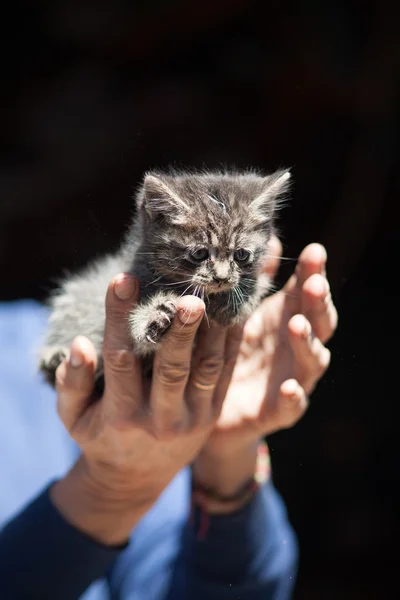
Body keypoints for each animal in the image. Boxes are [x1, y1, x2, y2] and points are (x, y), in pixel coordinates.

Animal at [39, 169, 290, 392]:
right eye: (199, 253)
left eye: (241, 255)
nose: (220, 278)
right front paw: (154, 317)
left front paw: (235, 299)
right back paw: (54, 357)